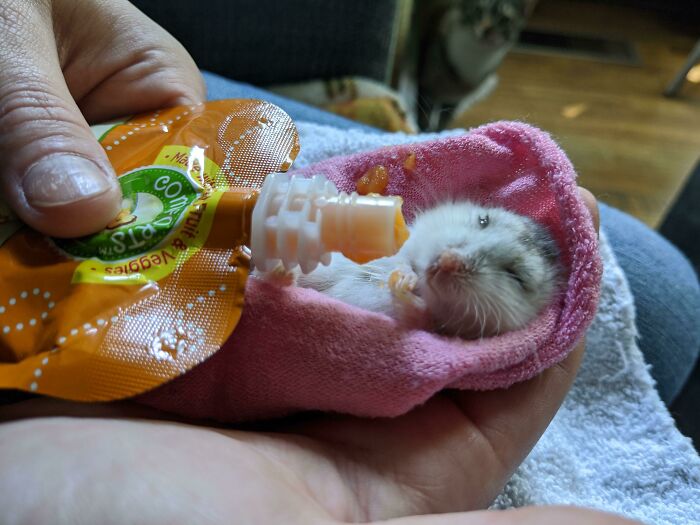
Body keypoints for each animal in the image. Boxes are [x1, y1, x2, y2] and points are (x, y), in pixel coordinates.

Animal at [258, 201, 564, 340]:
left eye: (517, 276)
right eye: (483, 220)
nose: (447, 260)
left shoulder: (438, 328)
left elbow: (423, 315)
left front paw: (405, 292)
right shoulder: (405, 246)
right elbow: (403, 259)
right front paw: (405, 278)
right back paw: (283, 269)